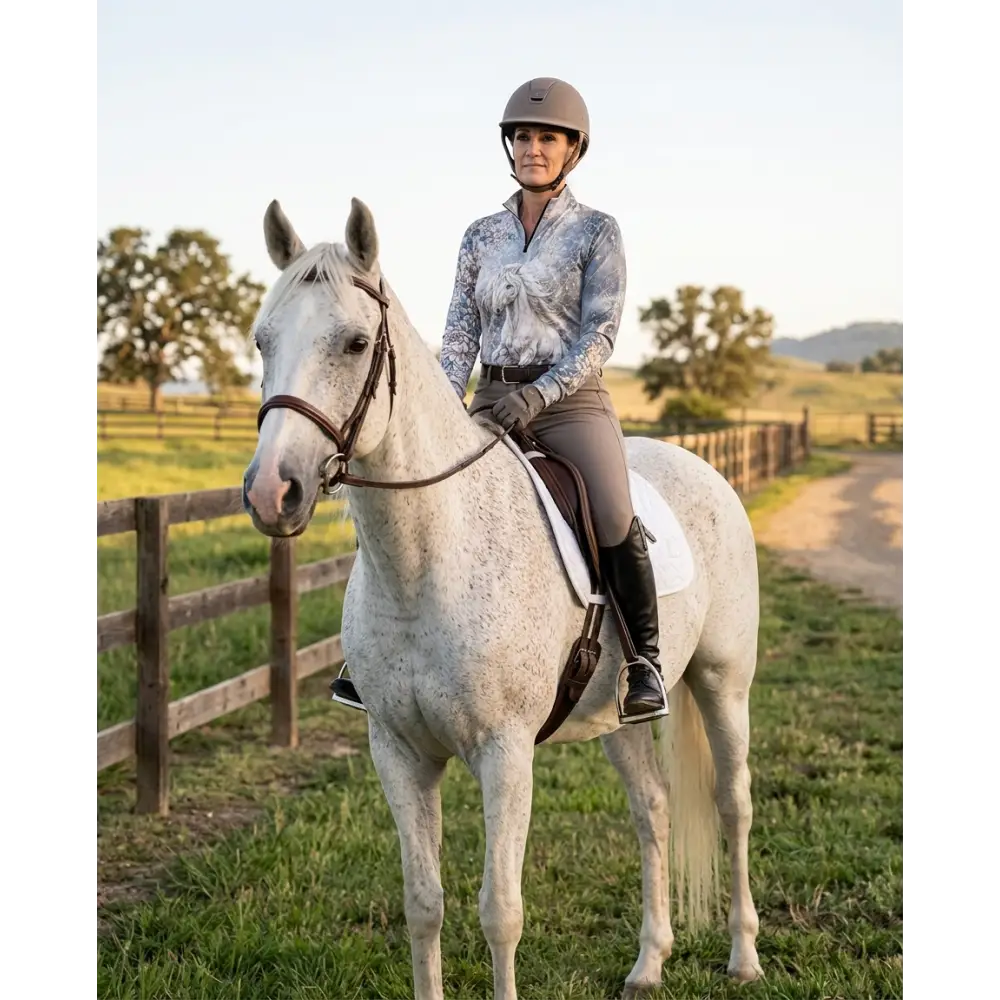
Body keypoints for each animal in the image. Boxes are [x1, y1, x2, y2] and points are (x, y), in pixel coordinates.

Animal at [241, 195, 764, 1000]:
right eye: (263, 339)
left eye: (356, 343)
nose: (273, 492)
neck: (426, 563)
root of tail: (702, 469)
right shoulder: (397, 752)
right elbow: (423, 904)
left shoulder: (504, 752)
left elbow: (500, 911)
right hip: (618, 716)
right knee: (653, 810)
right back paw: (649, 963)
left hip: (722, 681)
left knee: (733, 806)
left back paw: (743, 955)